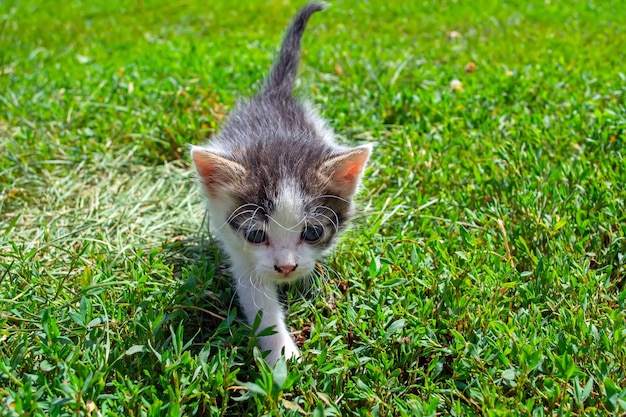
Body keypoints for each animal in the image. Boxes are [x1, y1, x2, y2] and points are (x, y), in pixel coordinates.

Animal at [188, 1, 368, 362]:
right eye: (256, 235)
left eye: (312, 232)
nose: (285, 268)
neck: (277, 136)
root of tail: (275, 95)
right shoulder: (243, 257)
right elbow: (260, 305)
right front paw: (283, 356)